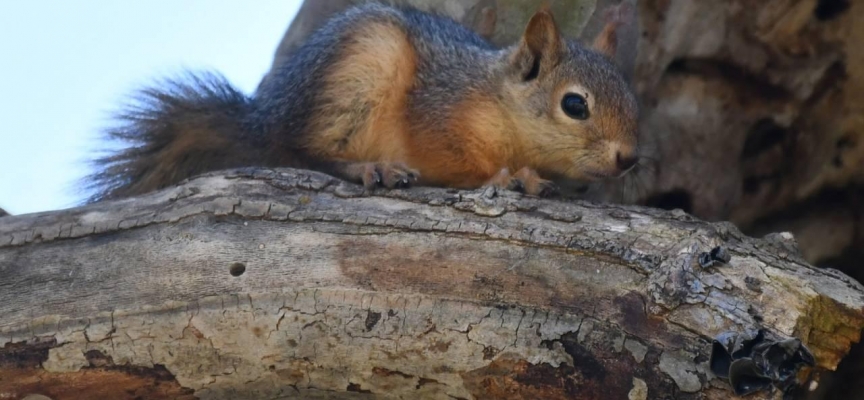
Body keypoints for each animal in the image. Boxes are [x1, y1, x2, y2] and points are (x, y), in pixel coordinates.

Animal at [84, 2, 636, 203]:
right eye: (575, 105)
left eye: (633, 100)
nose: (629, 159)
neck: (497, 97)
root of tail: (265, 120)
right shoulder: (439, 111)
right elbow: (458, 160)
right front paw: (510, 177)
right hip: (355, 79)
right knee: (305, 153)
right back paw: (374, 168)